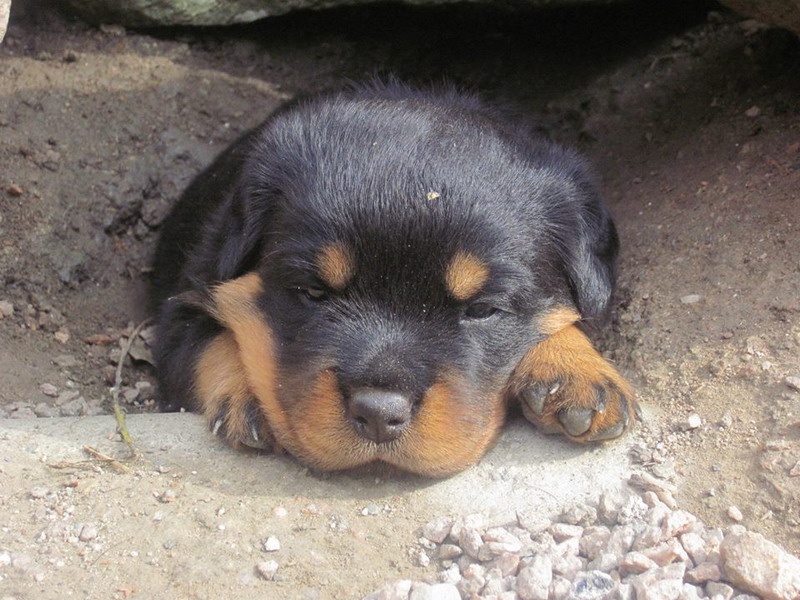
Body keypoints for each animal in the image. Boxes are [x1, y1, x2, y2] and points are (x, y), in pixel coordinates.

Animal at [150, 81, 639, 478]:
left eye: (483, 309)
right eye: (312, 292)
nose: (378, 414)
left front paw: (575, 372)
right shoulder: (185, 299)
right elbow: (211, 343)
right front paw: (249, 396)